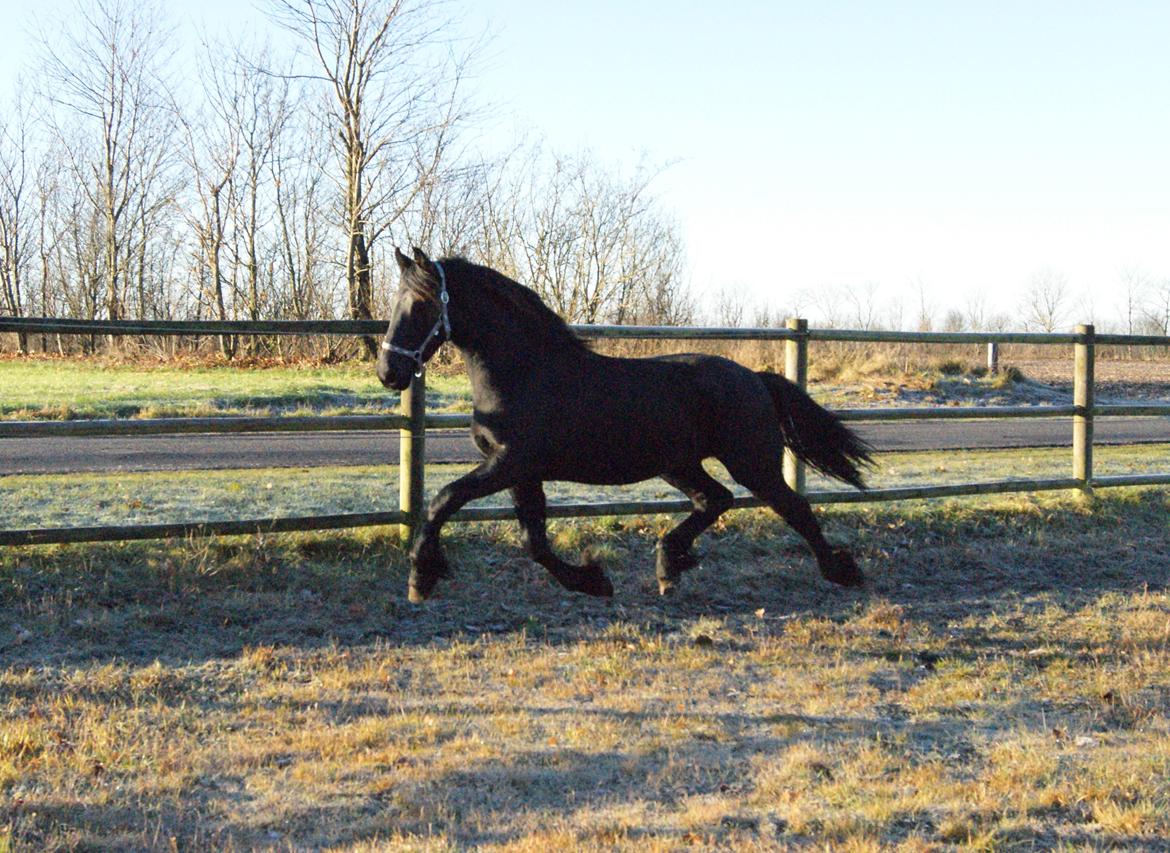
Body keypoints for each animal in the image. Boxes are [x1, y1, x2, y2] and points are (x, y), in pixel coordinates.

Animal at [379, 248, 875, 603]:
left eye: (421, 304)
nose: (389, 372)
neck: (525, 373)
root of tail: (754, 377)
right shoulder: (522, 472)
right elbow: (533, 541)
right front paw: (592, 581)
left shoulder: (509, 464)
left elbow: (443, 500)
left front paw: (421, 577)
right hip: (679, 465)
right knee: (715, 499)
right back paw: (669, 566)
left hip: (752, 463)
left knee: (793, 507)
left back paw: (843, 571)